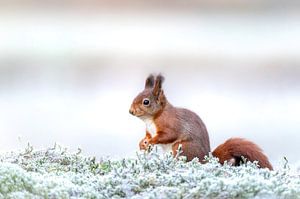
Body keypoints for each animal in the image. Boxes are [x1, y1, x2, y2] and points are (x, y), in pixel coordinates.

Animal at [129, 74, 272, 170]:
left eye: (146, 102)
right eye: (135, 96)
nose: (130, 111)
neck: (152, 119)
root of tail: (206, 160)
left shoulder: (171, 124)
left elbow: (168, 135)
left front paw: (151, 142)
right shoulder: (149, 130)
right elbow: (147, 136)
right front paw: (143, 143)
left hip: (181, 148)